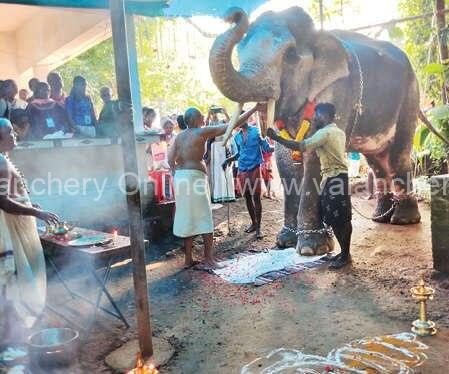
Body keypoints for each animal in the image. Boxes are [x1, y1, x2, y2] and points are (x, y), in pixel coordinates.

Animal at [209, 5, 430, 256]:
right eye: (240, 52)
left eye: (290, 56)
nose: (233, 14)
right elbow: (285, 161)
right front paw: (285, 242)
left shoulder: (339, 91)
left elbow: (314, 156)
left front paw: (311, 249)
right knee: (377, 161)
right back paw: (380, 218)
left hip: (410, 96)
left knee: (398, 155)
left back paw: (403, 220)